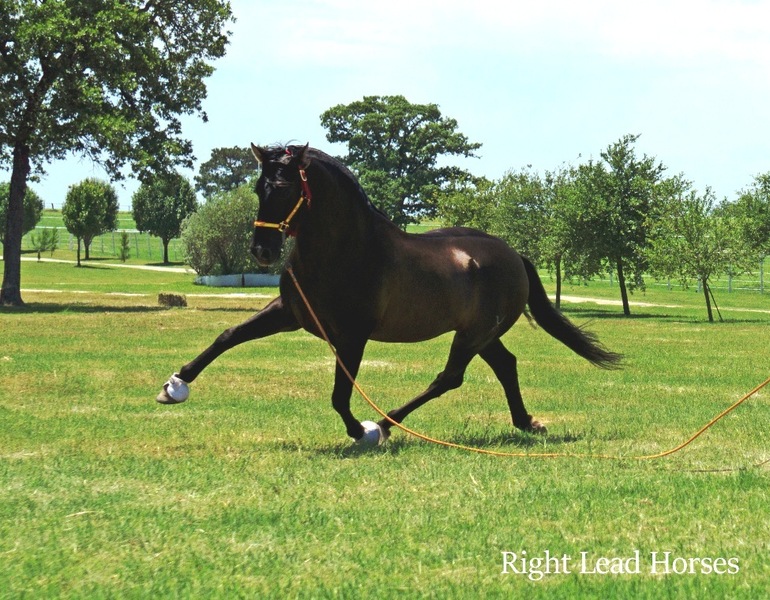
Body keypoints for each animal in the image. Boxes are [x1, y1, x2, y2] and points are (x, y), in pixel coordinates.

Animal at [156, 144, 616, 442]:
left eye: (285, 188)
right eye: (258, 188)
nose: (262, 251)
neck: (348, 251)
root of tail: (513, 254)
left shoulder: (352, 335)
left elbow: (340, 394)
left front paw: (360, 431)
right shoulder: (289, 313)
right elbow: (228, 336)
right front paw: (174, 386)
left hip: (473, 335)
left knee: (450, 377)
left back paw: (386, 424)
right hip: (482, 334)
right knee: (505, 365)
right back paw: (525, 422)